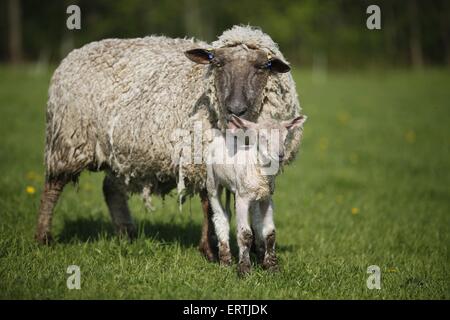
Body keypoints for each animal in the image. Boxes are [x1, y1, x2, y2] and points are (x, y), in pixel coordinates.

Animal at [34, 25, 302, 255]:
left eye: (263, 66)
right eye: (217, 63)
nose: (236, 109)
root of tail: (75, 53)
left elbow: (255, 204)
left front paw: (257, 249)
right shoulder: (201, 160)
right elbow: (209, 205)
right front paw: (211, 250)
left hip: (121, 151)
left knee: (111, 189)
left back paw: (127, 234)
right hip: (69, 140)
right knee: (53, 186)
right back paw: (43, 237)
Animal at [207, 115, 306, 276]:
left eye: (285, 138)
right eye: (263, 137)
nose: (280, 155)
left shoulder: (267, 198)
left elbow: (271, 233)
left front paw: (272, 267)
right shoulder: (242, 198)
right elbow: (245, 234)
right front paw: (244, 270)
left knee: (253, 219)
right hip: (212, 182)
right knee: (220, 217)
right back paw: (225, 261)